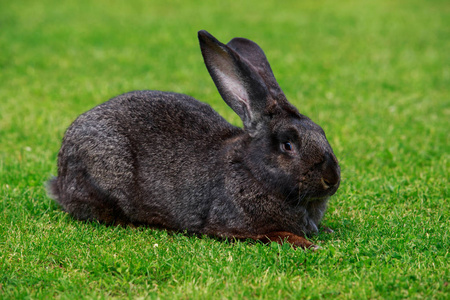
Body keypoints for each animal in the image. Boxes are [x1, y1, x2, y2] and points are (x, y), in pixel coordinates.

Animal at [46, 31, 342, 251]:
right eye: (287, 145)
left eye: (321, 131)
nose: (332, 178)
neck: (251, 170)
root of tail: (60, 178)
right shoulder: (232, 226)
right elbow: (275, 235)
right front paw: (307, 243)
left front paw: (326, 230)